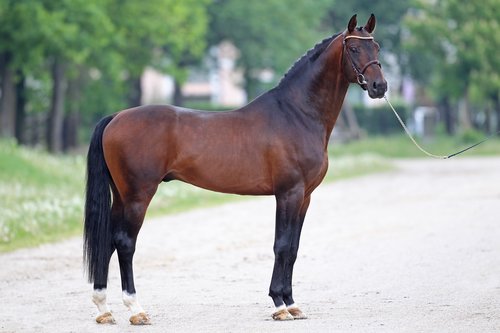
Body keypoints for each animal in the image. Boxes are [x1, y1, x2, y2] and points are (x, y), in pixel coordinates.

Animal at [83, 14, 386, 322]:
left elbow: (293, 248)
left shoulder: (305, 197)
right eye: (353, 49)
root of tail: (116, 117)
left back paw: (104, 309)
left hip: (122, 196)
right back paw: (136, 309)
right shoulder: (288, 194)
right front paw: (279, 305)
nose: (379, 87)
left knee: (108, 241)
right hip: (138, 196)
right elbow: (281, 245)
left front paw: (292, 303)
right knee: (125, 243)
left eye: (376, 48)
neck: (296, 114)